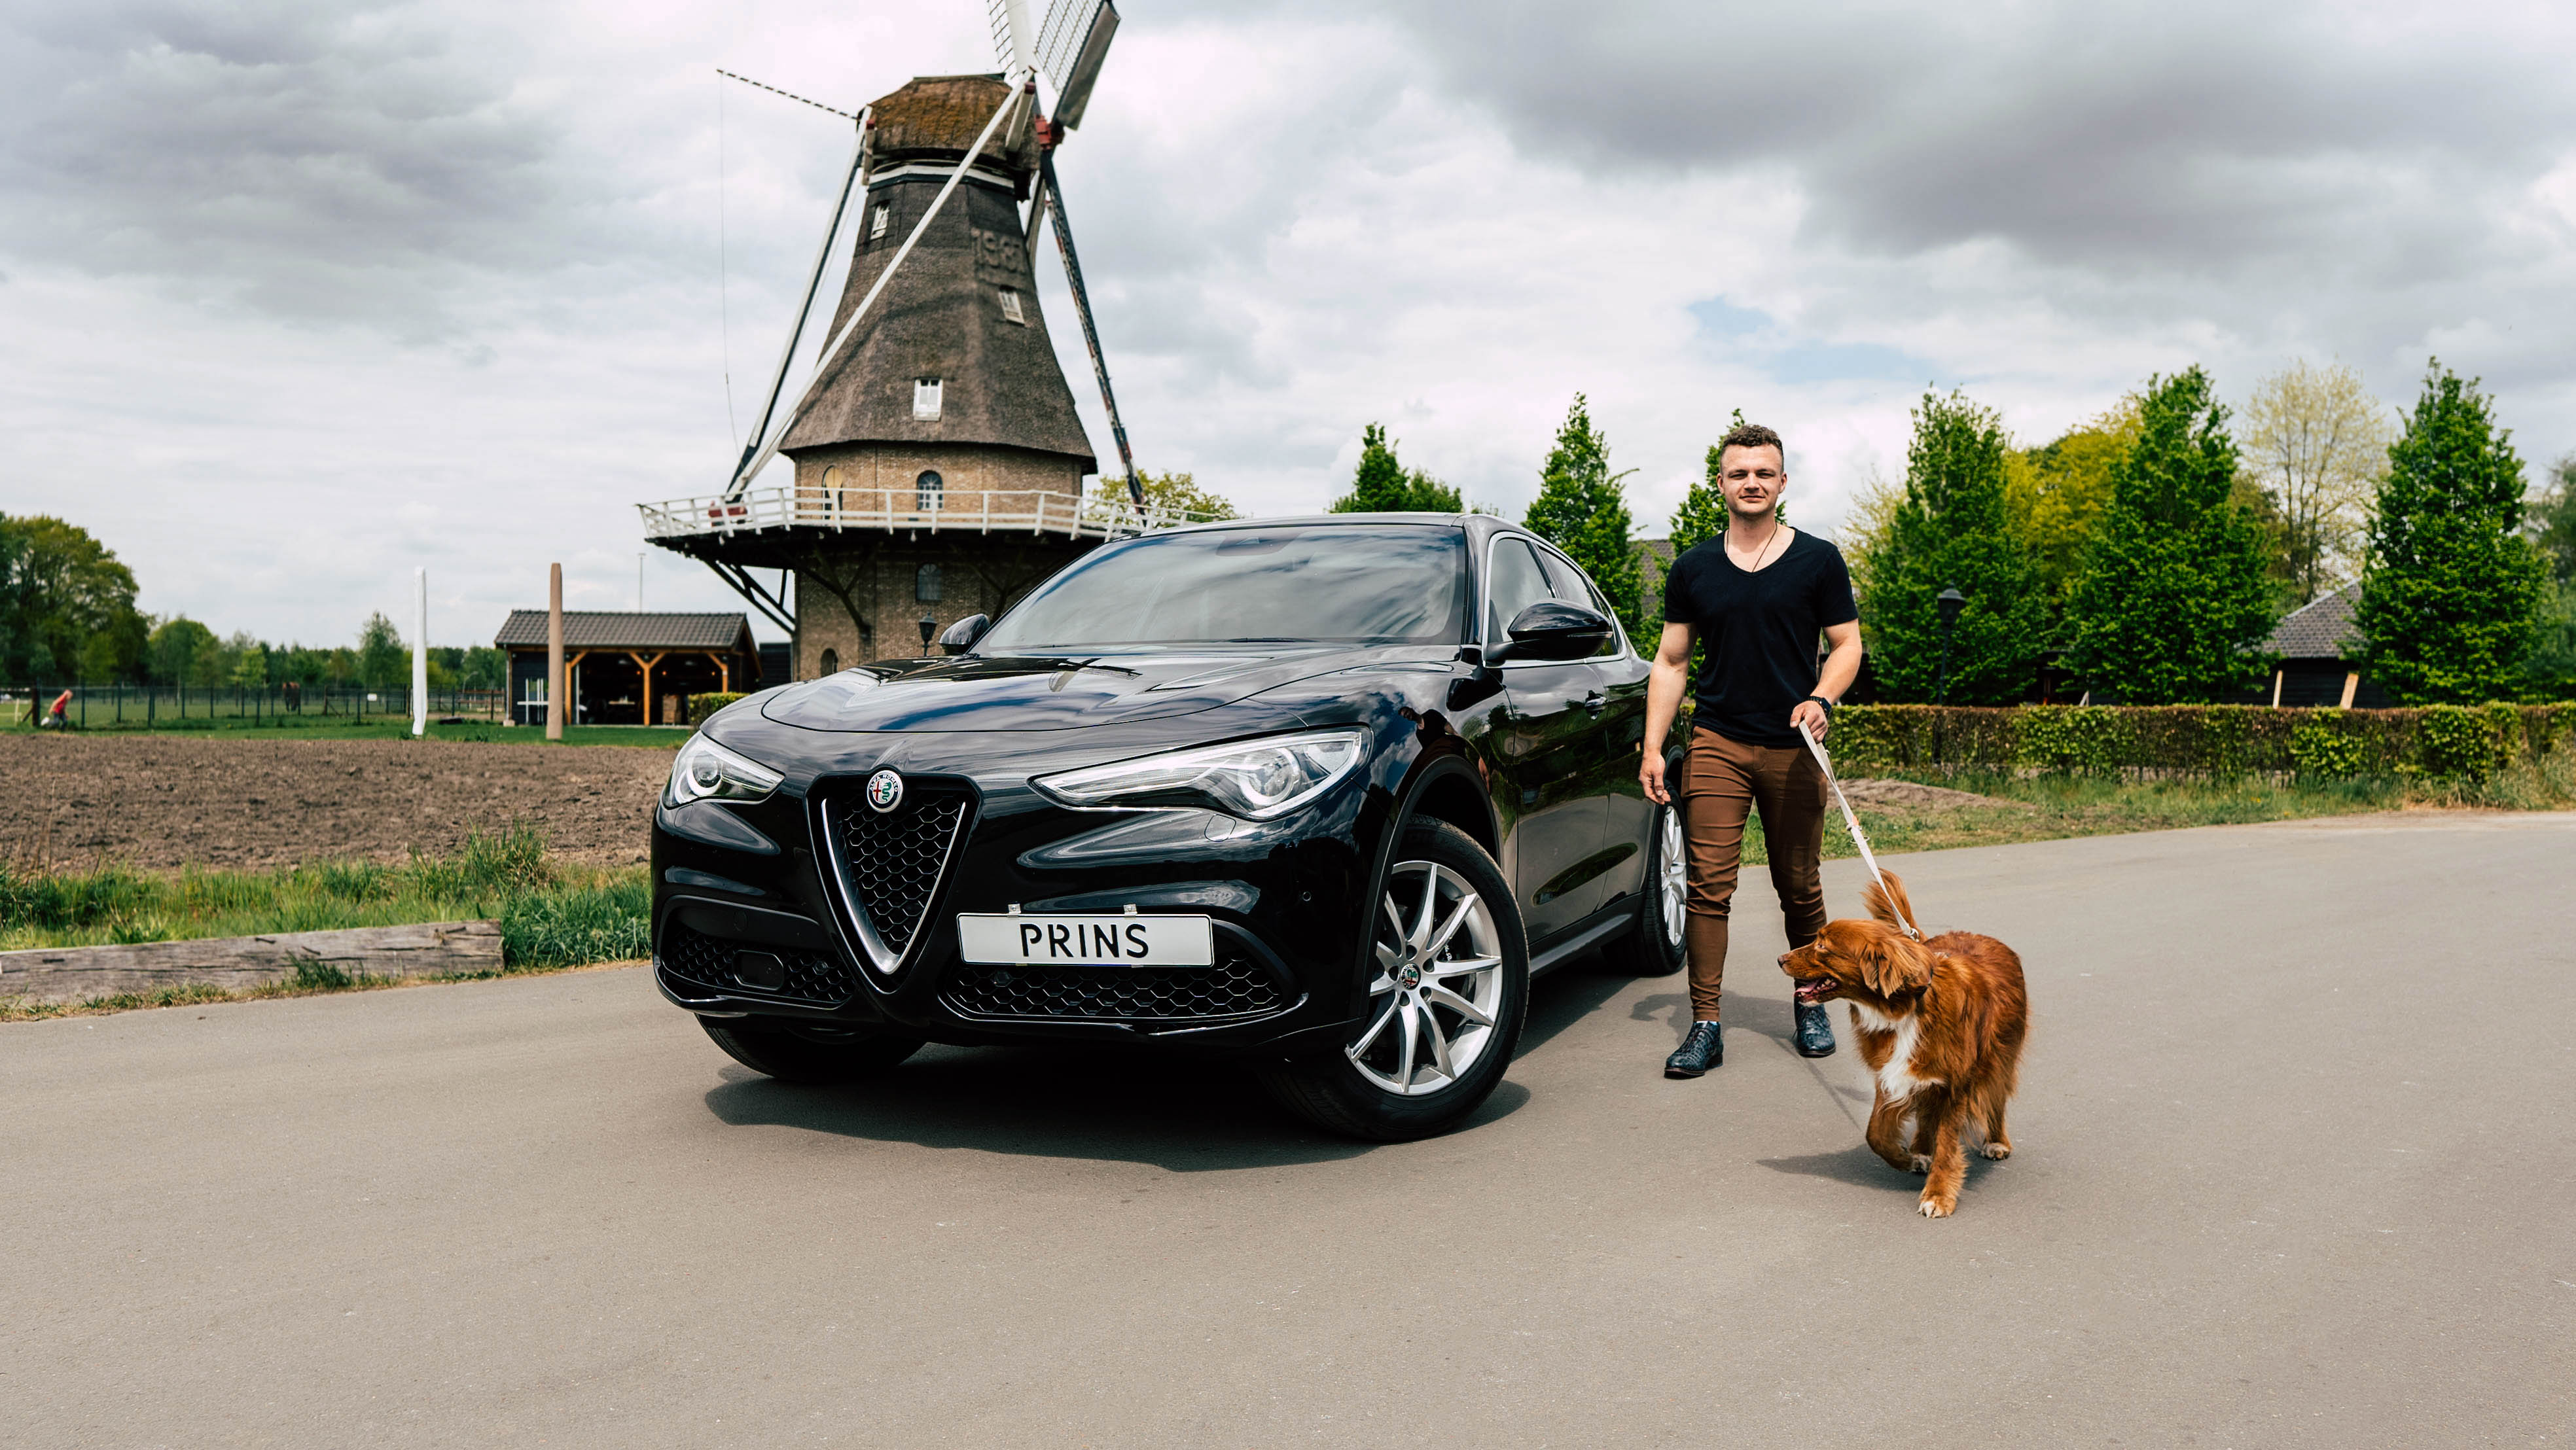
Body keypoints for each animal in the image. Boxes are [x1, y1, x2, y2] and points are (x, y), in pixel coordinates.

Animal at [1782, 875, 2019, 1226]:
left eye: (1823, 946)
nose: (1780, 959)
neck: (1906, 1006)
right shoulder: (1891, 1073)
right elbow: (1875, 1133)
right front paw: (1907, 1159)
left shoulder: (1955, 1085)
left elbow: (1947, 1145)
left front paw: (1938, 1195)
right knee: (1925, 1114)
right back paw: (1920, 1148)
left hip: (2001, 1055)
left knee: (1996, 1098)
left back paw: (1997, 1141)